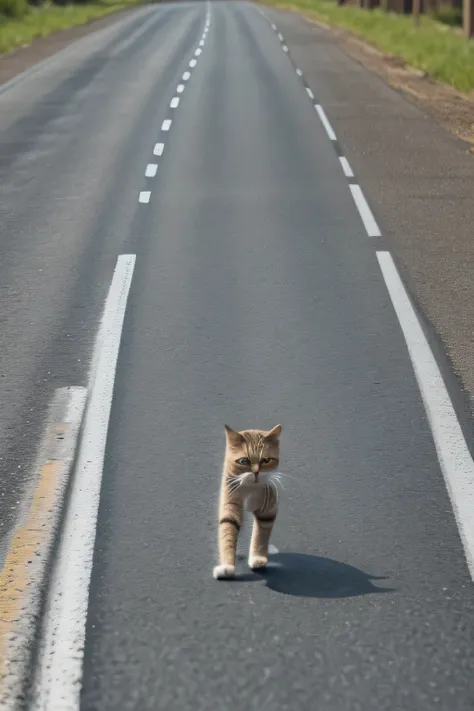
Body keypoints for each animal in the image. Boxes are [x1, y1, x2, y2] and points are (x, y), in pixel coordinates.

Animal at [214, 422, 284, 580]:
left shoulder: (267, 509)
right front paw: (227, 567)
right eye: (243, 461)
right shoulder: (230, 505)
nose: (256, 472)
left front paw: (258, 558)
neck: (250, 487)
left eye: (266, 460)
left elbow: (260, 534)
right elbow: (228, 532)